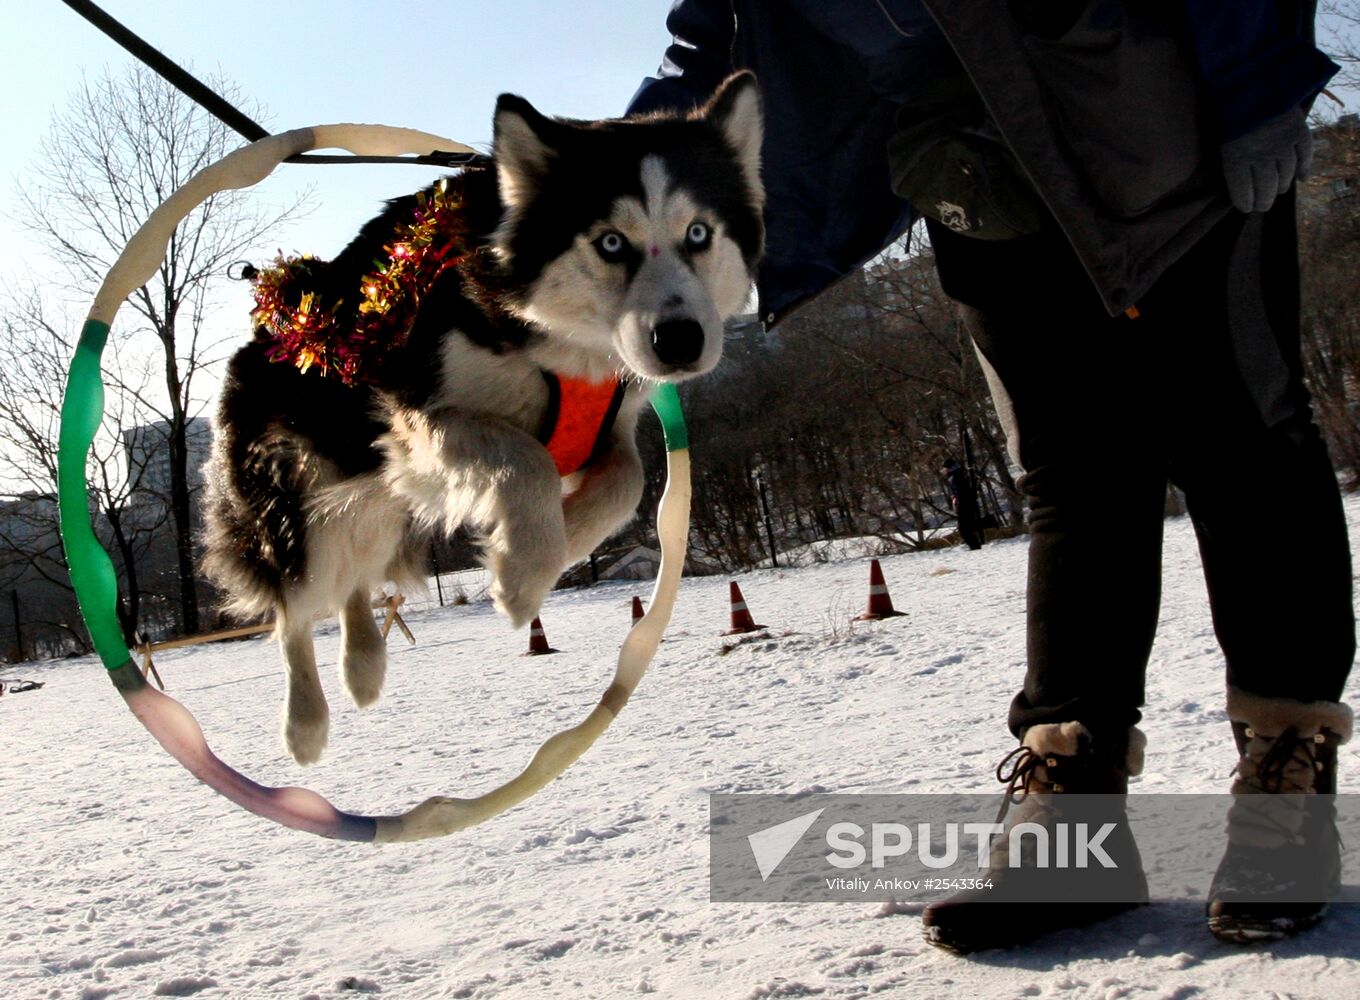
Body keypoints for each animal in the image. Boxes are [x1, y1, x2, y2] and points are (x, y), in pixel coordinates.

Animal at [204, 76, 767, 767]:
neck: (561, 343)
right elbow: (526, 455)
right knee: (294, 602)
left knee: (354, 575)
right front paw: (521, 578)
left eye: (699, 233)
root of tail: (278, 312)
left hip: (376, 502)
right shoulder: (416, 417)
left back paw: (363, 663)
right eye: (610, 241)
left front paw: (551, 544)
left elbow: (625, 482)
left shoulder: (610, 420)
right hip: (298, 499)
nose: (681, 341)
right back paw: (304, 721)